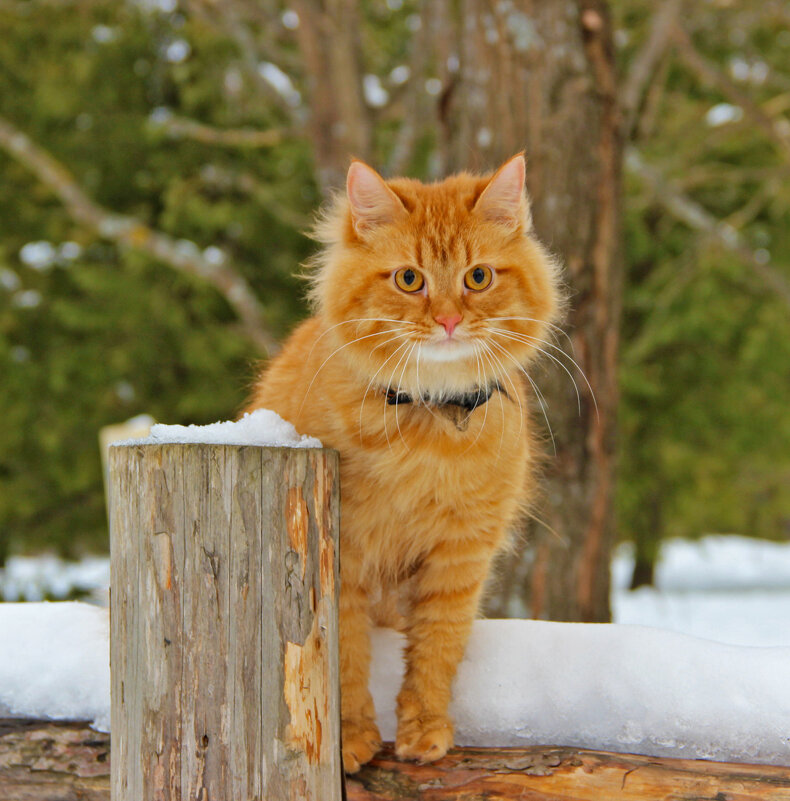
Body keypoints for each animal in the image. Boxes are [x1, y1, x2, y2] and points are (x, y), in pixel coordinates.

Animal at [248, 153, 564, 772]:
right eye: (409, 280)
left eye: (477, 278)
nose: (447, 321)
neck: (428, 424)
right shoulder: (344, 555)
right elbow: (344, 658)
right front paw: (351, 739)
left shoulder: (459, 559)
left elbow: (437, 649)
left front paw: (424, 731)